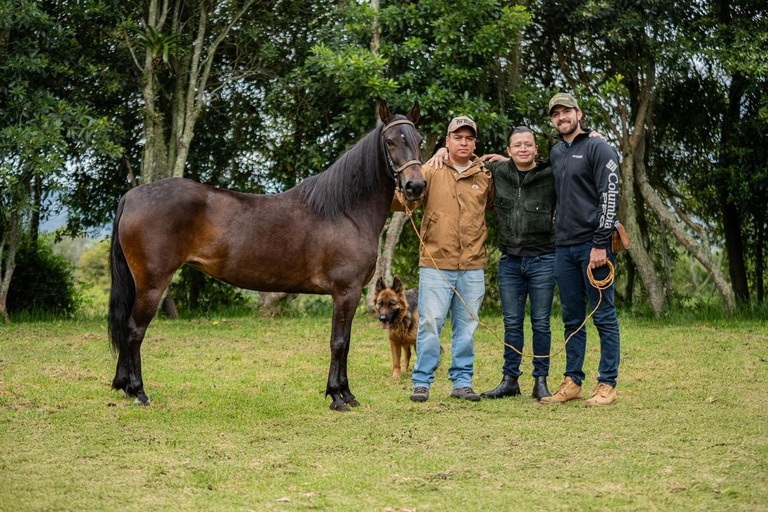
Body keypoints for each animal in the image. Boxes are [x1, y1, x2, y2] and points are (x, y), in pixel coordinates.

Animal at [108, 101, 425, 411]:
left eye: (419, 140)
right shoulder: (346, 292)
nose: (416, 186)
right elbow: (339, 342)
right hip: (152, 284)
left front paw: (346, 394)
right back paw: (139, 393)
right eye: (390, 141)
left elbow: (344, 342)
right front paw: (338, 396)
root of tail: (131, 196)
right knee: (134, 330)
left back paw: (125, 387)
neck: (345, 211)